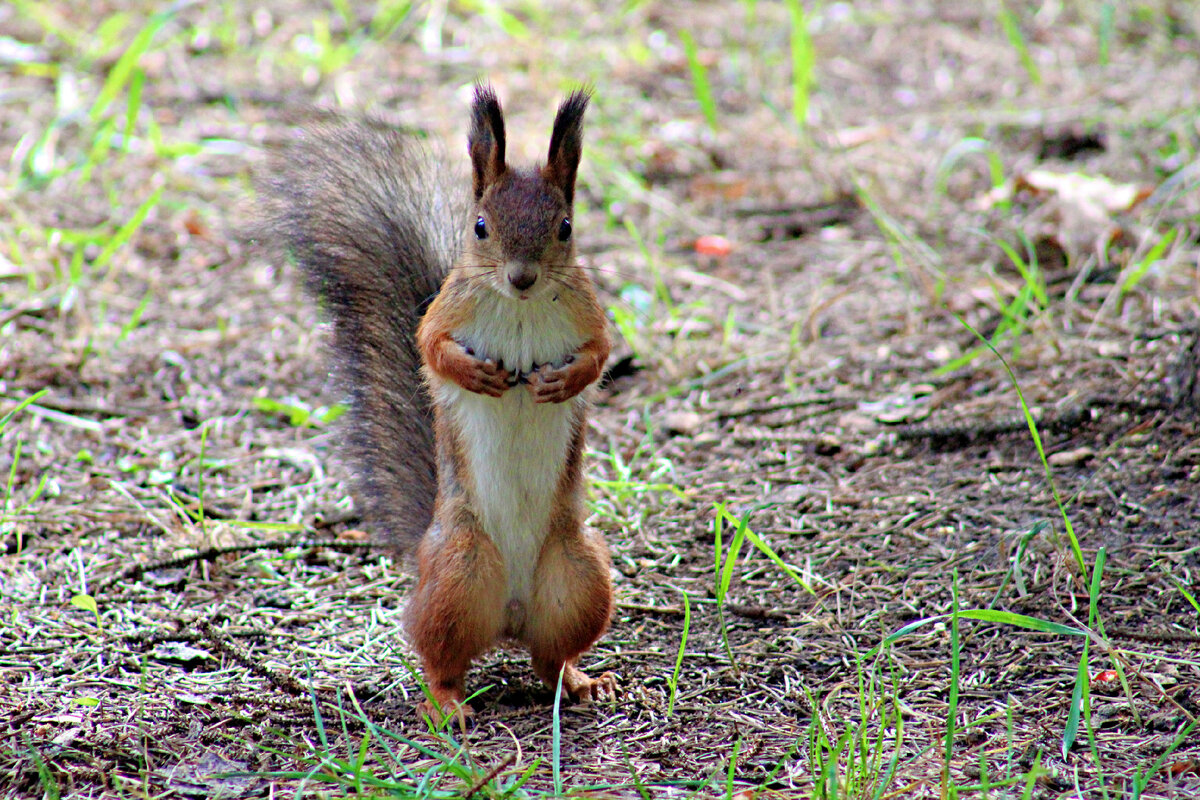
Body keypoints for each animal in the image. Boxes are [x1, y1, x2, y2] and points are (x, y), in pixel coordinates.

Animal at [262, 84, 619, 724]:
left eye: (565, 227)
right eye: (479, 226)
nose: (523, 277)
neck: (520, 306)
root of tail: (510, 617)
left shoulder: (589, 313)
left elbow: (599, 355)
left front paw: (561, 382)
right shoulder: (446, 312)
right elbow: (429, 347)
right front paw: (476, 375)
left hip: (581, 576)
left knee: (550, 659)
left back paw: (582, 682)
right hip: (459, 573)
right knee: (438, 658)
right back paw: (446, 703)